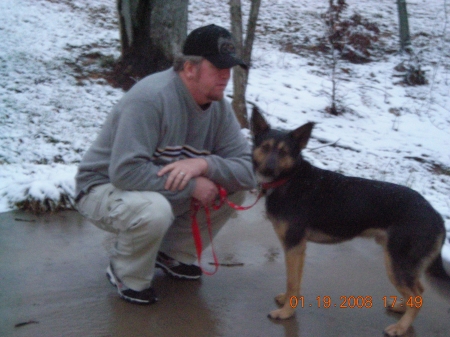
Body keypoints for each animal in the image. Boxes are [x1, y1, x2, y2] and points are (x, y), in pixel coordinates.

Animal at [251, 107, 444, 336]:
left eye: (283, 152)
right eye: (265, 147)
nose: (269, 170)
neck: (289, 179)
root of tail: (436, 214)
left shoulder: (294, 245)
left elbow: (292, 281)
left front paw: (286, 312)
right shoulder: (298, 248)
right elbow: (295, 281)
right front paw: (288, 302)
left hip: (396, 263)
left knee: (417, 296)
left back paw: (401, 327)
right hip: (402, 264)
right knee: (417, 291)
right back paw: (401, 308)